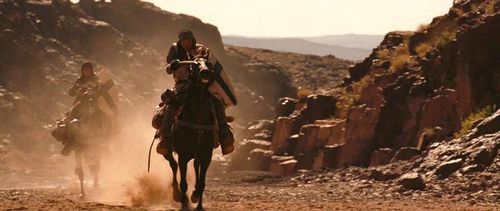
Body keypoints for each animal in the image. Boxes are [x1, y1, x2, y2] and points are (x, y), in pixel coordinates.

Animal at [163, 58, 218, 211]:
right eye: (195, 64)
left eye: (208, 64)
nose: (205, 72)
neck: (197, 118)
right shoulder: (183, 155)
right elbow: (183, 182)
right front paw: (184, 203)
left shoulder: (206, 155)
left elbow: (202, 183)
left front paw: (197, 201)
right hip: (167, 150)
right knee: (173, 165)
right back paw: (177, 194)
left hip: (197, 155)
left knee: (194, 167)